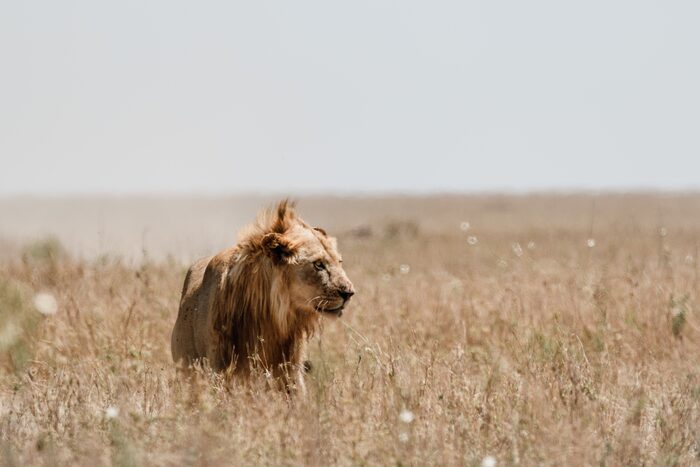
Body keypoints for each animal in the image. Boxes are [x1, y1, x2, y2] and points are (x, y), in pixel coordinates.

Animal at [171, 200, 354, 392]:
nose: (349, 293)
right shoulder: (219, 368)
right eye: (318, 264)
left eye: (339, 262)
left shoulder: (291, 369)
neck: (272, 317)